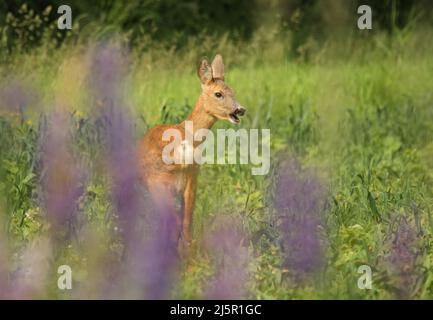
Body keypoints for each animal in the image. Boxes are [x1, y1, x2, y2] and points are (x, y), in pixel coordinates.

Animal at [139, 55, 246, 245]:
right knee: (183, 224)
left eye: (232, 91)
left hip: (161, 182)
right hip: (180, 180)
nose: (240, 109)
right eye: (219, 93)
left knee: (175, 223)